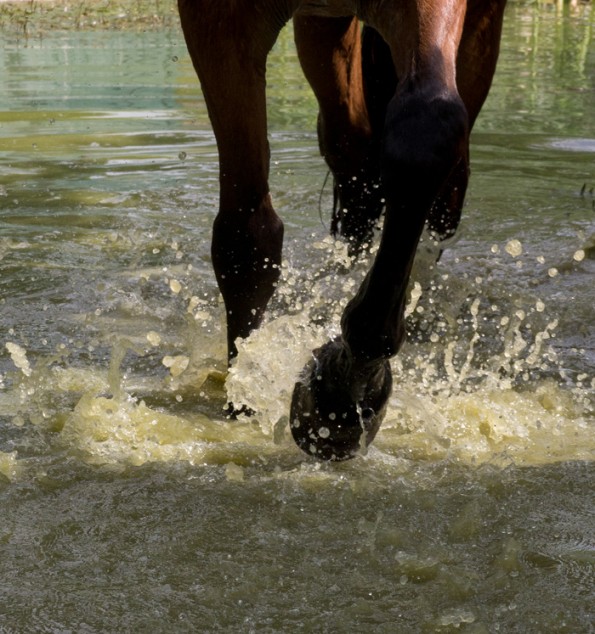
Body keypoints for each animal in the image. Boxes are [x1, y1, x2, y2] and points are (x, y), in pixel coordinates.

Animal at [177, 0, 508, 460]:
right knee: (352, 149)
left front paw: (345, 395)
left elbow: (428, 128)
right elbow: (246, 236)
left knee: (442, 184)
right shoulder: (220, 19)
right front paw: (247, 392)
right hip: (325, 29)